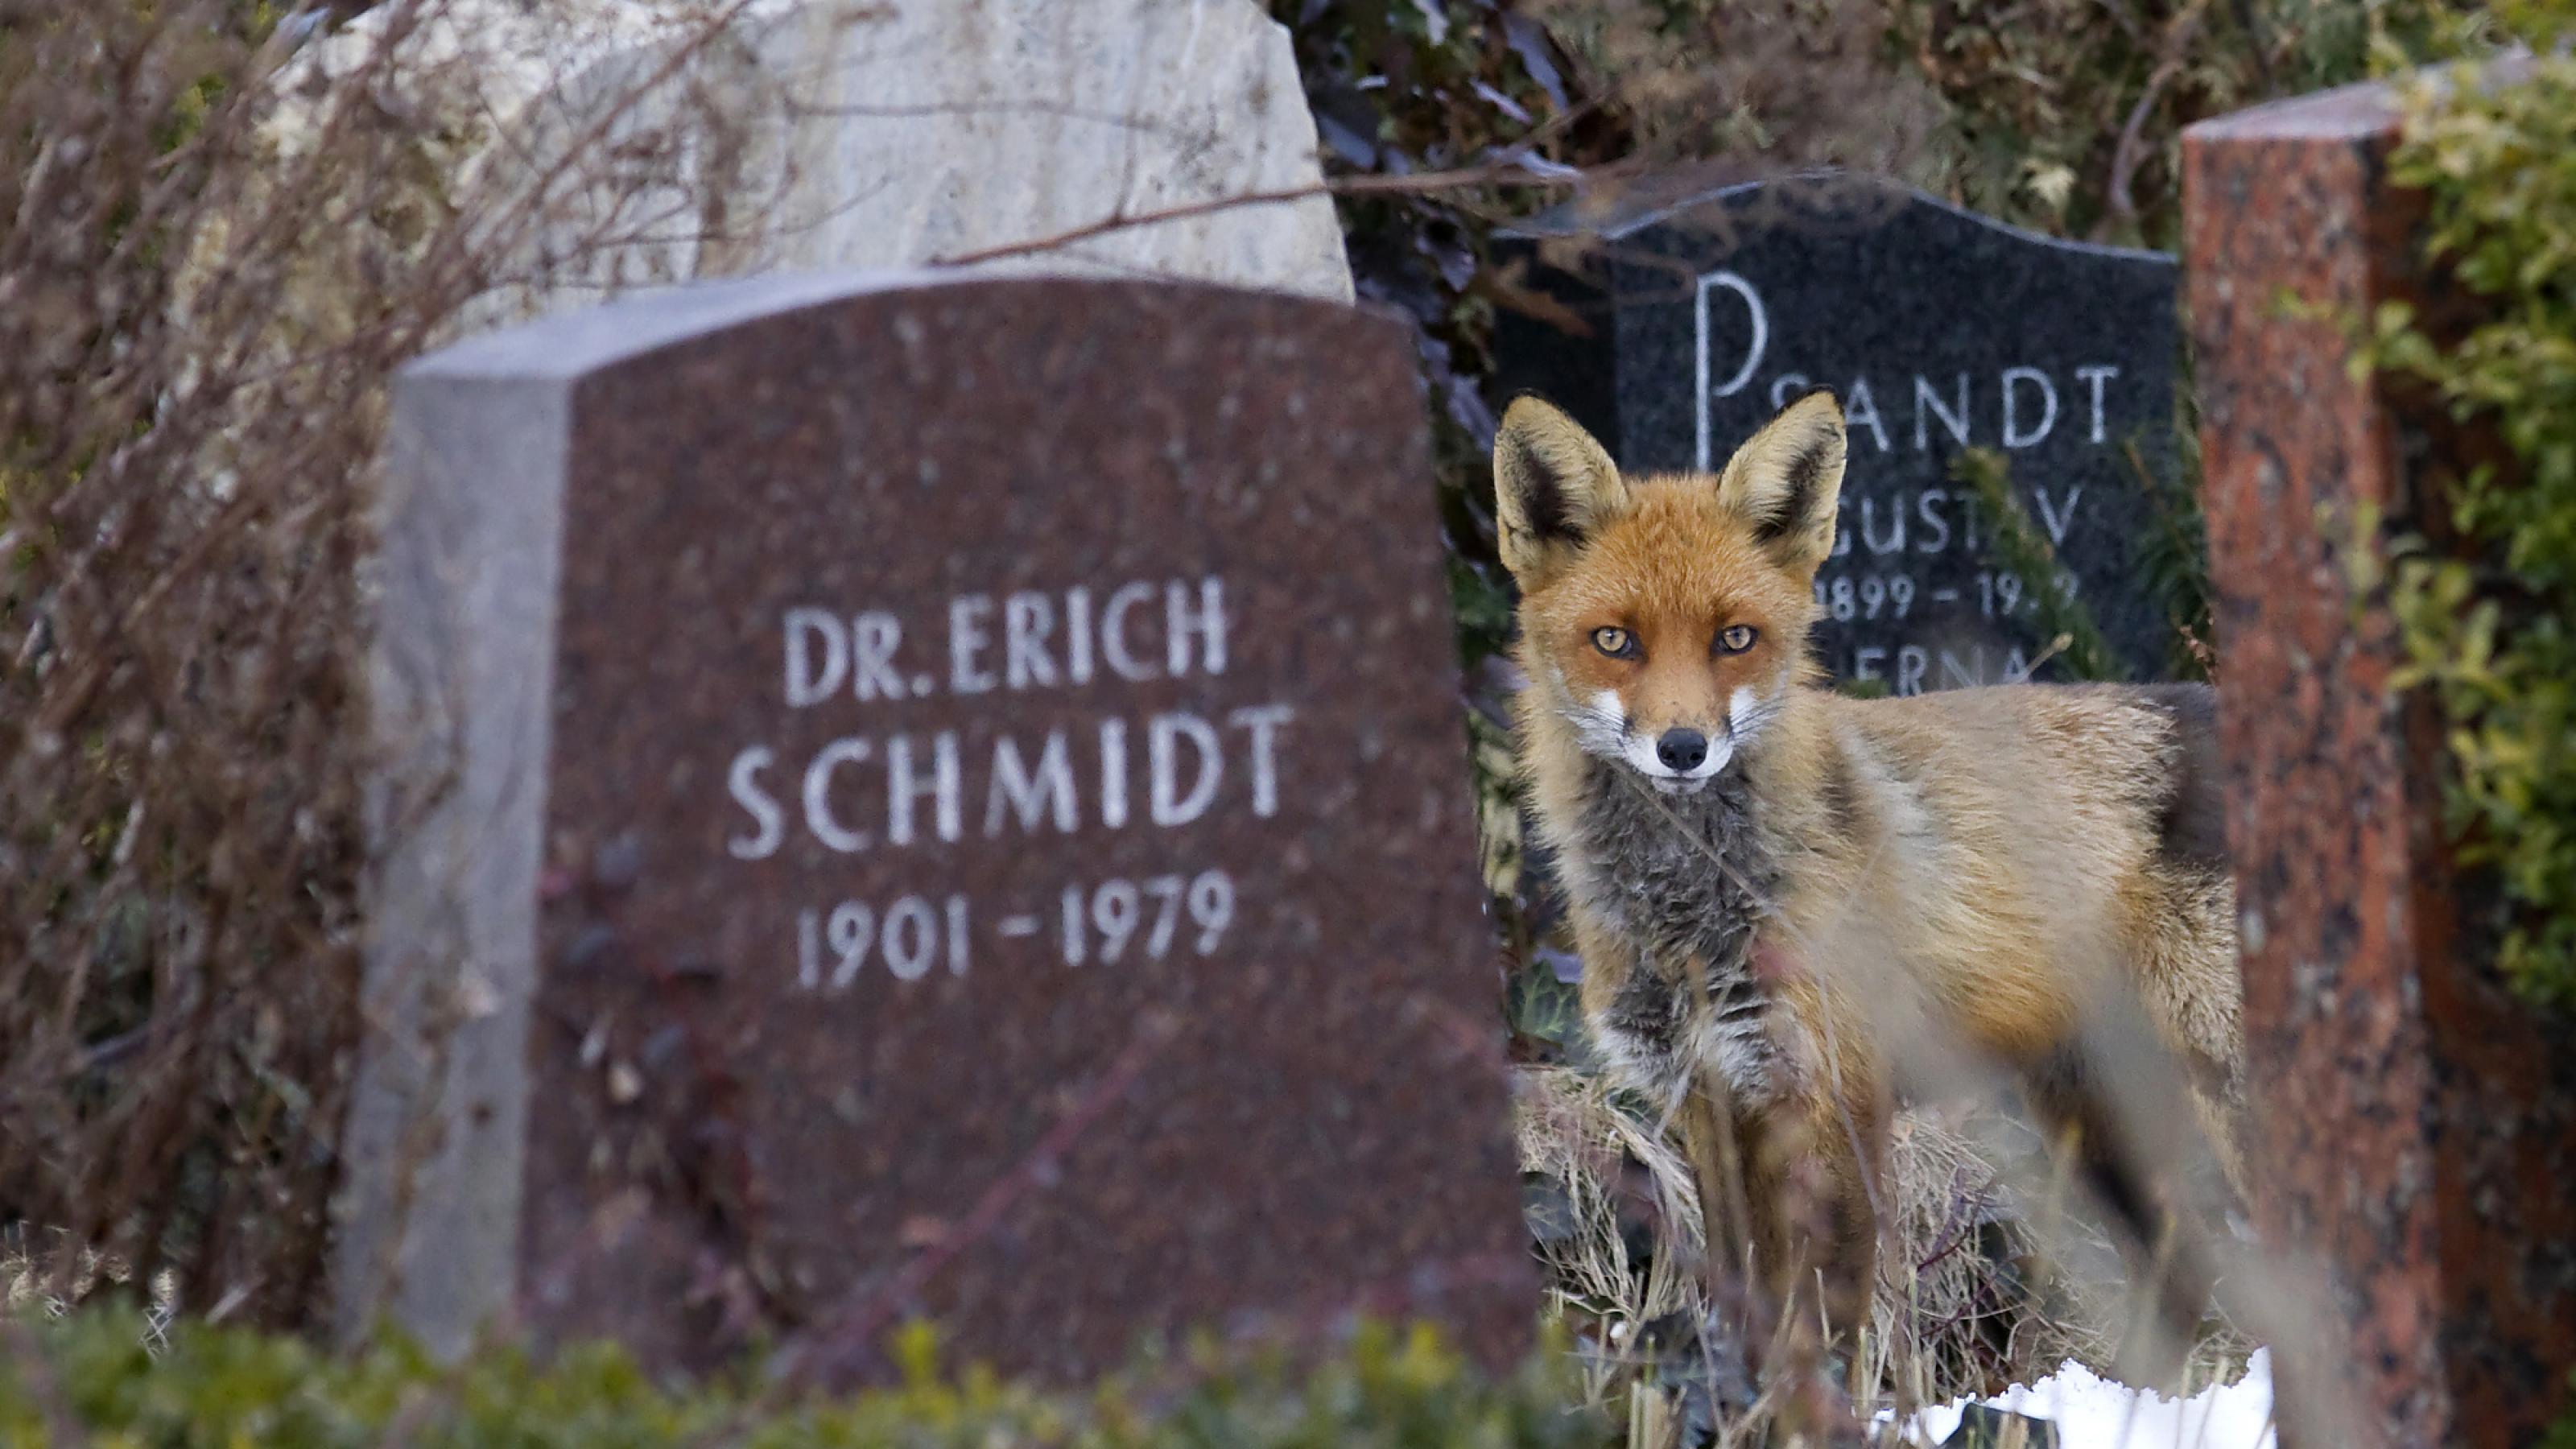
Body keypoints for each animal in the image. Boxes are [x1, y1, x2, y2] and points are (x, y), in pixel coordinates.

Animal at [1491, 389, 2245, 1362]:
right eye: (1614, 641)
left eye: (1734, 638)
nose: (1683, 748)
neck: (1691, 918)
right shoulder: (1708, 1101)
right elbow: (1749, 1319)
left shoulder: (1832, 1101)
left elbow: (1823, 1339)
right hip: (2098, 1126)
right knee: (2185, 1285)